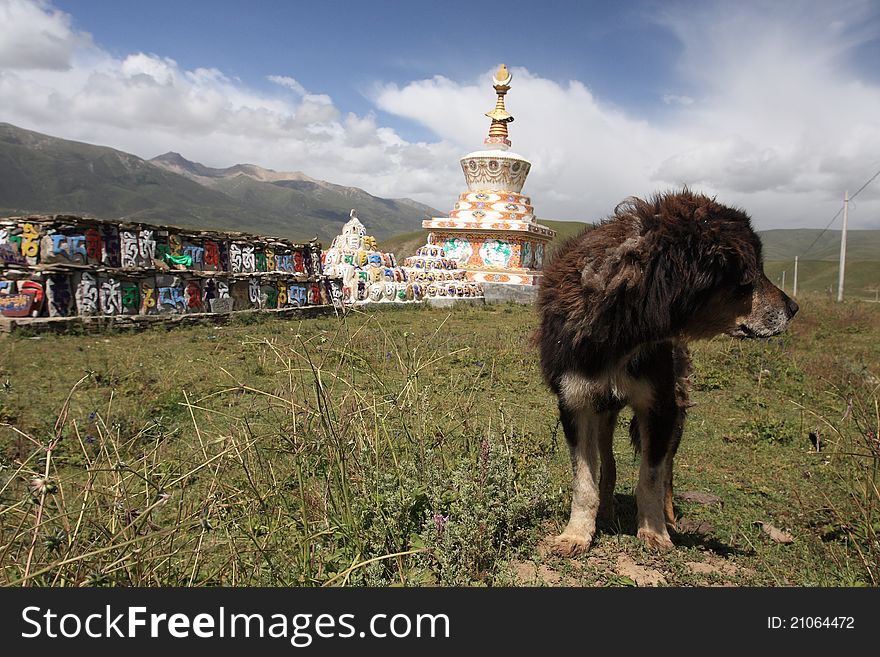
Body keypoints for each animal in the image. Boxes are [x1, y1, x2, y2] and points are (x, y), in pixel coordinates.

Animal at [536, 190, 796, 552]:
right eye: (746, 280)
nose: (793, 308)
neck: (621, 329)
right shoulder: (576, 402)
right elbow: (584, 480)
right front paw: (576, 534)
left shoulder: (660, 405)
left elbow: (651, 477)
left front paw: (655, 532)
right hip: (604, 411)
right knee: (609, 464)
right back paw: (607, 510)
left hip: (678, 406)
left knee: (668, 471)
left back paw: (669, 519)